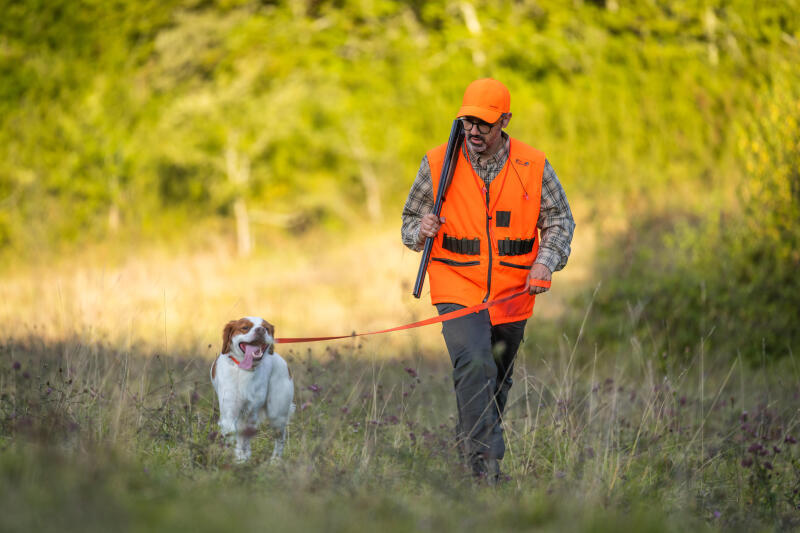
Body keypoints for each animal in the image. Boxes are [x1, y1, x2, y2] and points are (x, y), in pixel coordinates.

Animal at [209, 316, 294, 462]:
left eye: (266, 328)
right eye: (245, 327)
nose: (260, 330)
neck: (245, 370)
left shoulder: (251, 413)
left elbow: (244, 439)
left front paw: (242, 458)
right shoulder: (229, 413)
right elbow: (232, 436)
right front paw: (234, 458)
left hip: (277, 413)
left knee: (280, 438)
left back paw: (275, 461)